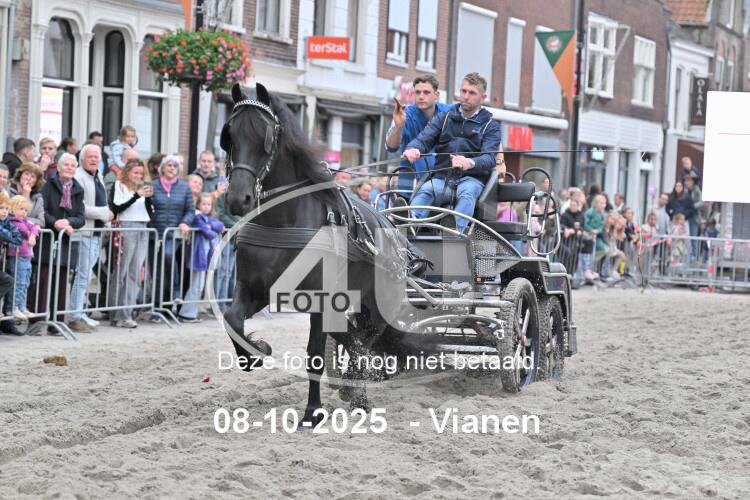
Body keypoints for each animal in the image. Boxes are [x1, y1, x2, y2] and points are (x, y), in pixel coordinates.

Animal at [221, 83, 427, 423]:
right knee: (353, 336)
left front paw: (312, 413)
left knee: (366, 338)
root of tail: (396, 233)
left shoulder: (318, 298)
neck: (282, 220)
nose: (239, 199)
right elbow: (231, 320)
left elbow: (314, 354)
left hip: (379, 302)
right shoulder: (254, 288)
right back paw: (353, 388)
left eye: (265, 138)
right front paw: (256, 352)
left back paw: (357, 389)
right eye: (230, 136)